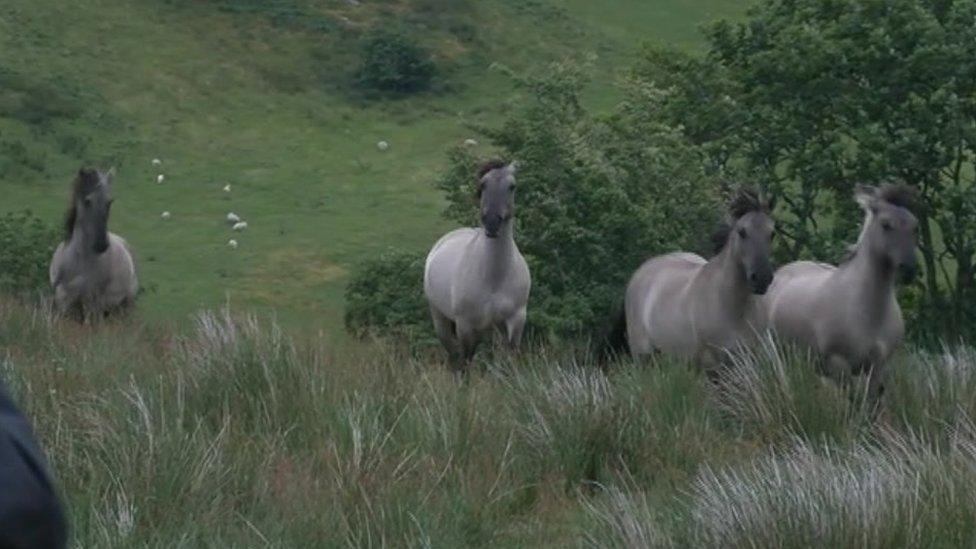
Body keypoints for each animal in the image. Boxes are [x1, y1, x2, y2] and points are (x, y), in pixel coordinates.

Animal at [50, 168, 138, 322]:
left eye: (109, 202)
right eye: (87, 201)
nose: (101, 244)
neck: (77, 263)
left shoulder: (91, 305)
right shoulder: (63, 303)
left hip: (122, 306)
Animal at [424, 162, 528, 368]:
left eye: (512, 186)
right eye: (483, 184)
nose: (492, 224)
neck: (494, 277)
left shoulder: (516, 320)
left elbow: (511, 359)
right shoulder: (466, 326)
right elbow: (466, 362)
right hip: (440, 319)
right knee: (454, 355)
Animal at [768, 183, 920, 394]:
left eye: (915, 227)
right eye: (886, 225)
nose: (909, 269)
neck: (868, 312)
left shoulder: (877, 367)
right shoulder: (838, 364)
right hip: (782, 357)